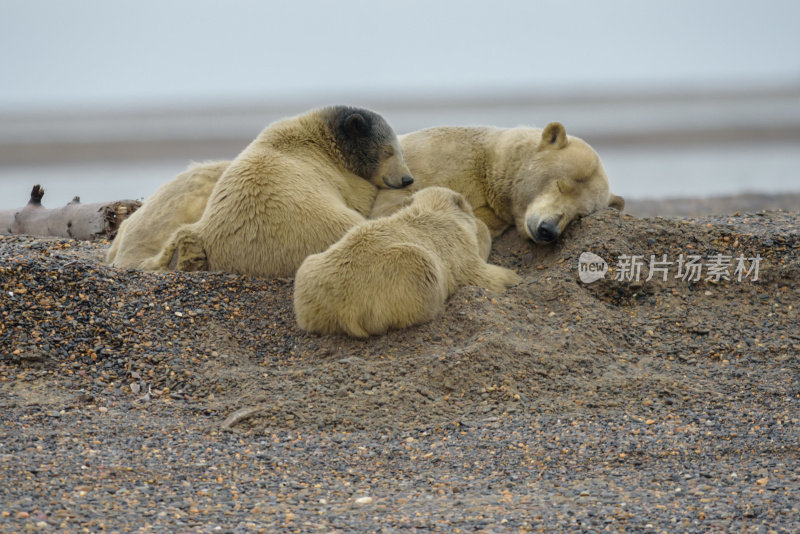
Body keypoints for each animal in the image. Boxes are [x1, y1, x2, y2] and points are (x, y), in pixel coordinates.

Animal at [152, 106, 412, 278]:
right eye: (389, 151)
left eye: (399, 150)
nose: (407, 178)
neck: (320, 136)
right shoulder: (344, 178)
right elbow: (362, 197)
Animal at [292, 188, 520, 340]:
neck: (433, 208)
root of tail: (337, 309)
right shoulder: (457, 247)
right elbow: (479, 273)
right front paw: (514, 278)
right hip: (401, 274)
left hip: (309, 275)